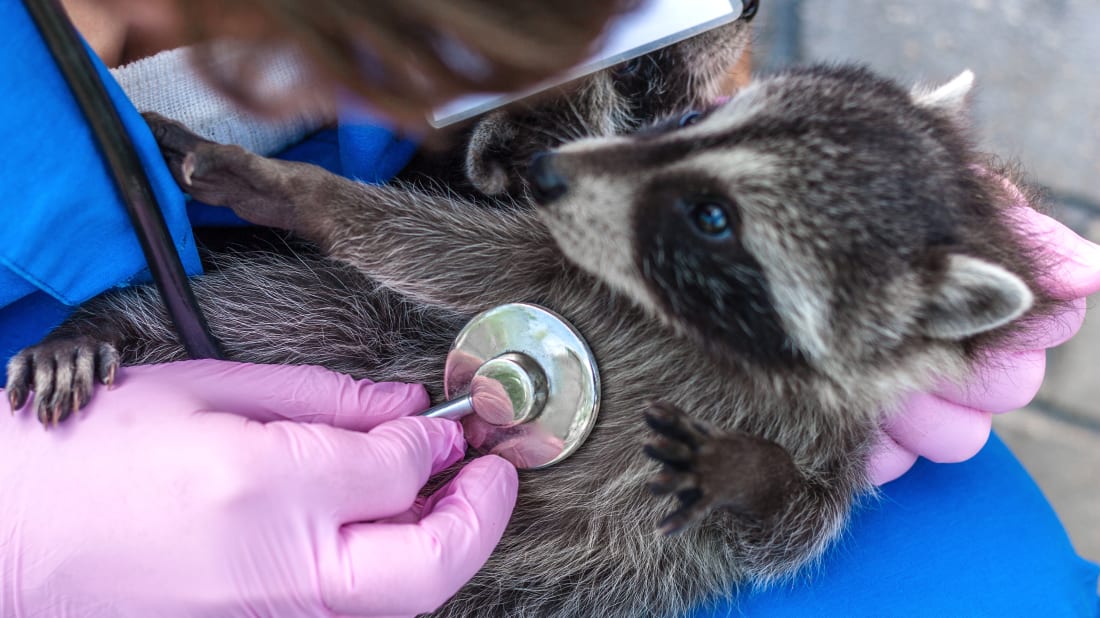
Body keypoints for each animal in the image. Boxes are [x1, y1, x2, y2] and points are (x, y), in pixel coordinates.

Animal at [8, 63, 1056, 615]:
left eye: (714, 216)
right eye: (691, 131)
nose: (555, 175)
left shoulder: (833, 434)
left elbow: (789, 526)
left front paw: (748, 472)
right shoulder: (554, 271)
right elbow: (427, 247)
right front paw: (296, 190)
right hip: (316, 329)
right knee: (276, 313)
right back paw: (102, 328)